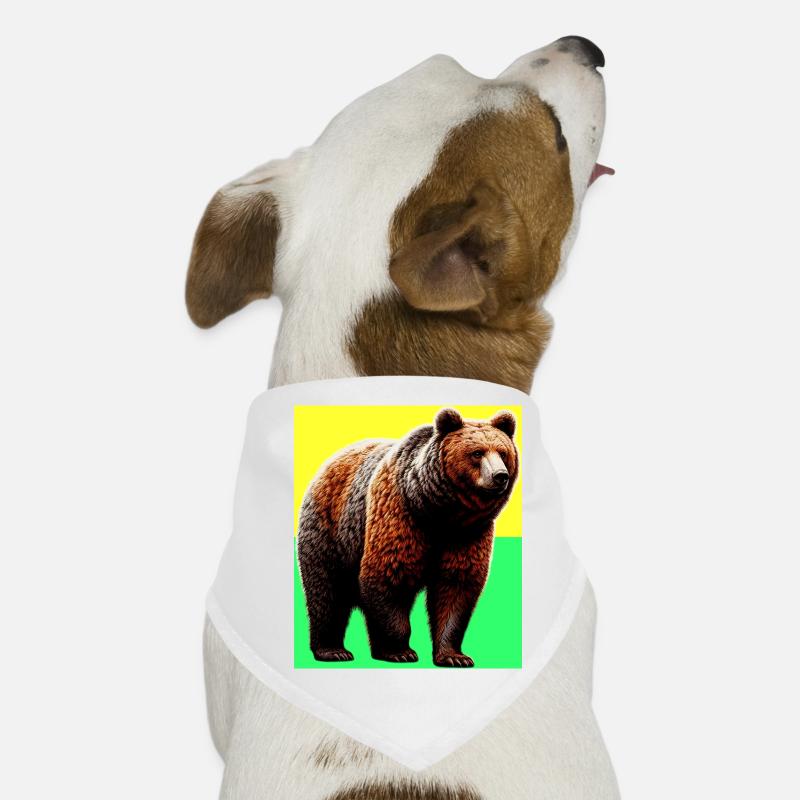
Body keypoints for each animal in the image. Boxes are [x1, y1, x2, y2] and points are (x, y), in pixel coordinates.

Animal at [296, 407, 518, 668]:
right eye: (477, 452)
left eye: (503, 452)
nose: (500, 475)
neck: (439, 512)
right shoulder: (399, 513)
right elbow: (389, 574)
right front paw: (399, 651)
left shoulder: (467, 534)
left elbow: (455, 586)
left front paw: (454, 656)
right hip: (329, 529)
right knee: (328, 591)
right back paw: (333, 650)